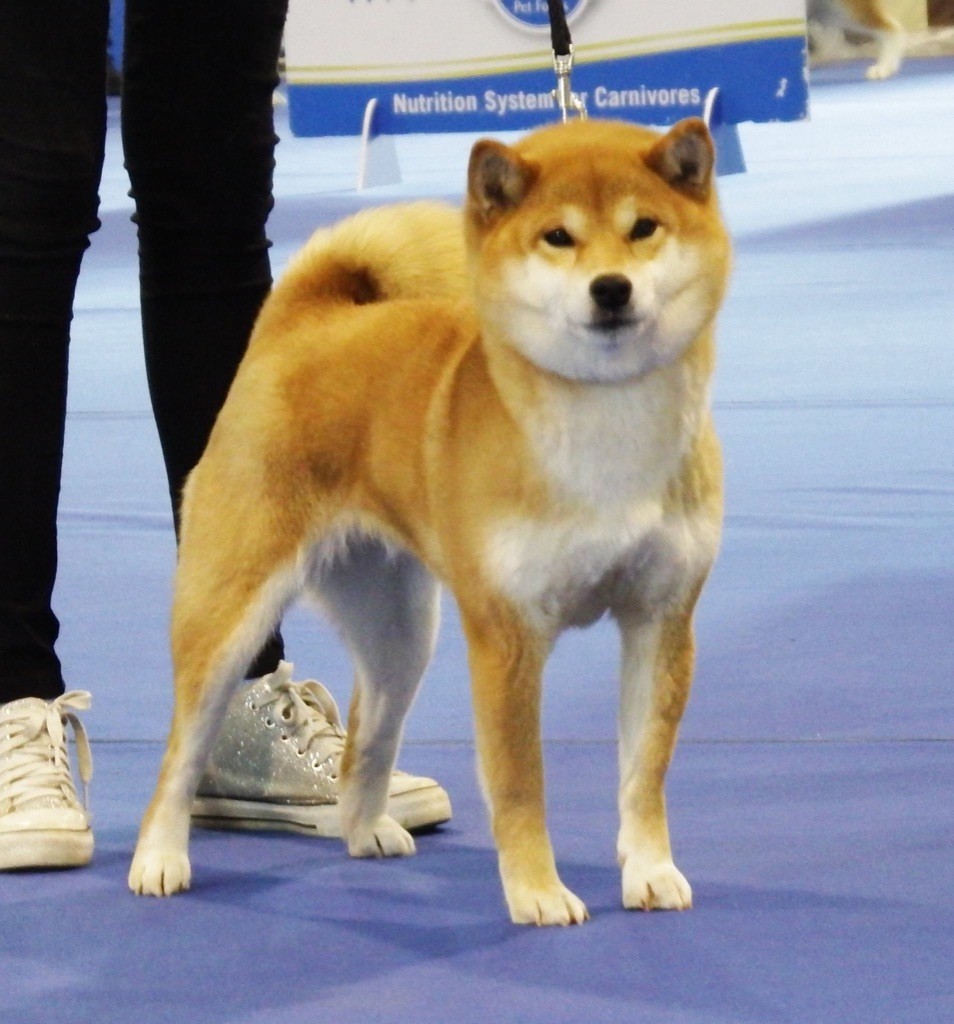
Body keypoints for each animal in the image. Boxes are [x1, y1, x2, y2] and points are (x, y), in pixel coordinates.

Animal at [128, 116, 731, 926]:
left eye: (644, 228)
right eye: (557, 237)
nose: (612, 288)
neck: (607, 426)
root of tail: (301, 323)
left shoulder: (661, 620)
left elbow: (645, 772)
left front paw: (651, 873)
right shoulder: (507, 639)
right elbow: (521, 783)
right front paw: (538, 893)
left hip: (401, 631)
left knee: (365, 738)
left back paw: (367, 830)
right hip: (228, 611)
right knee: (179, 754)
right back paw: (159, 859)